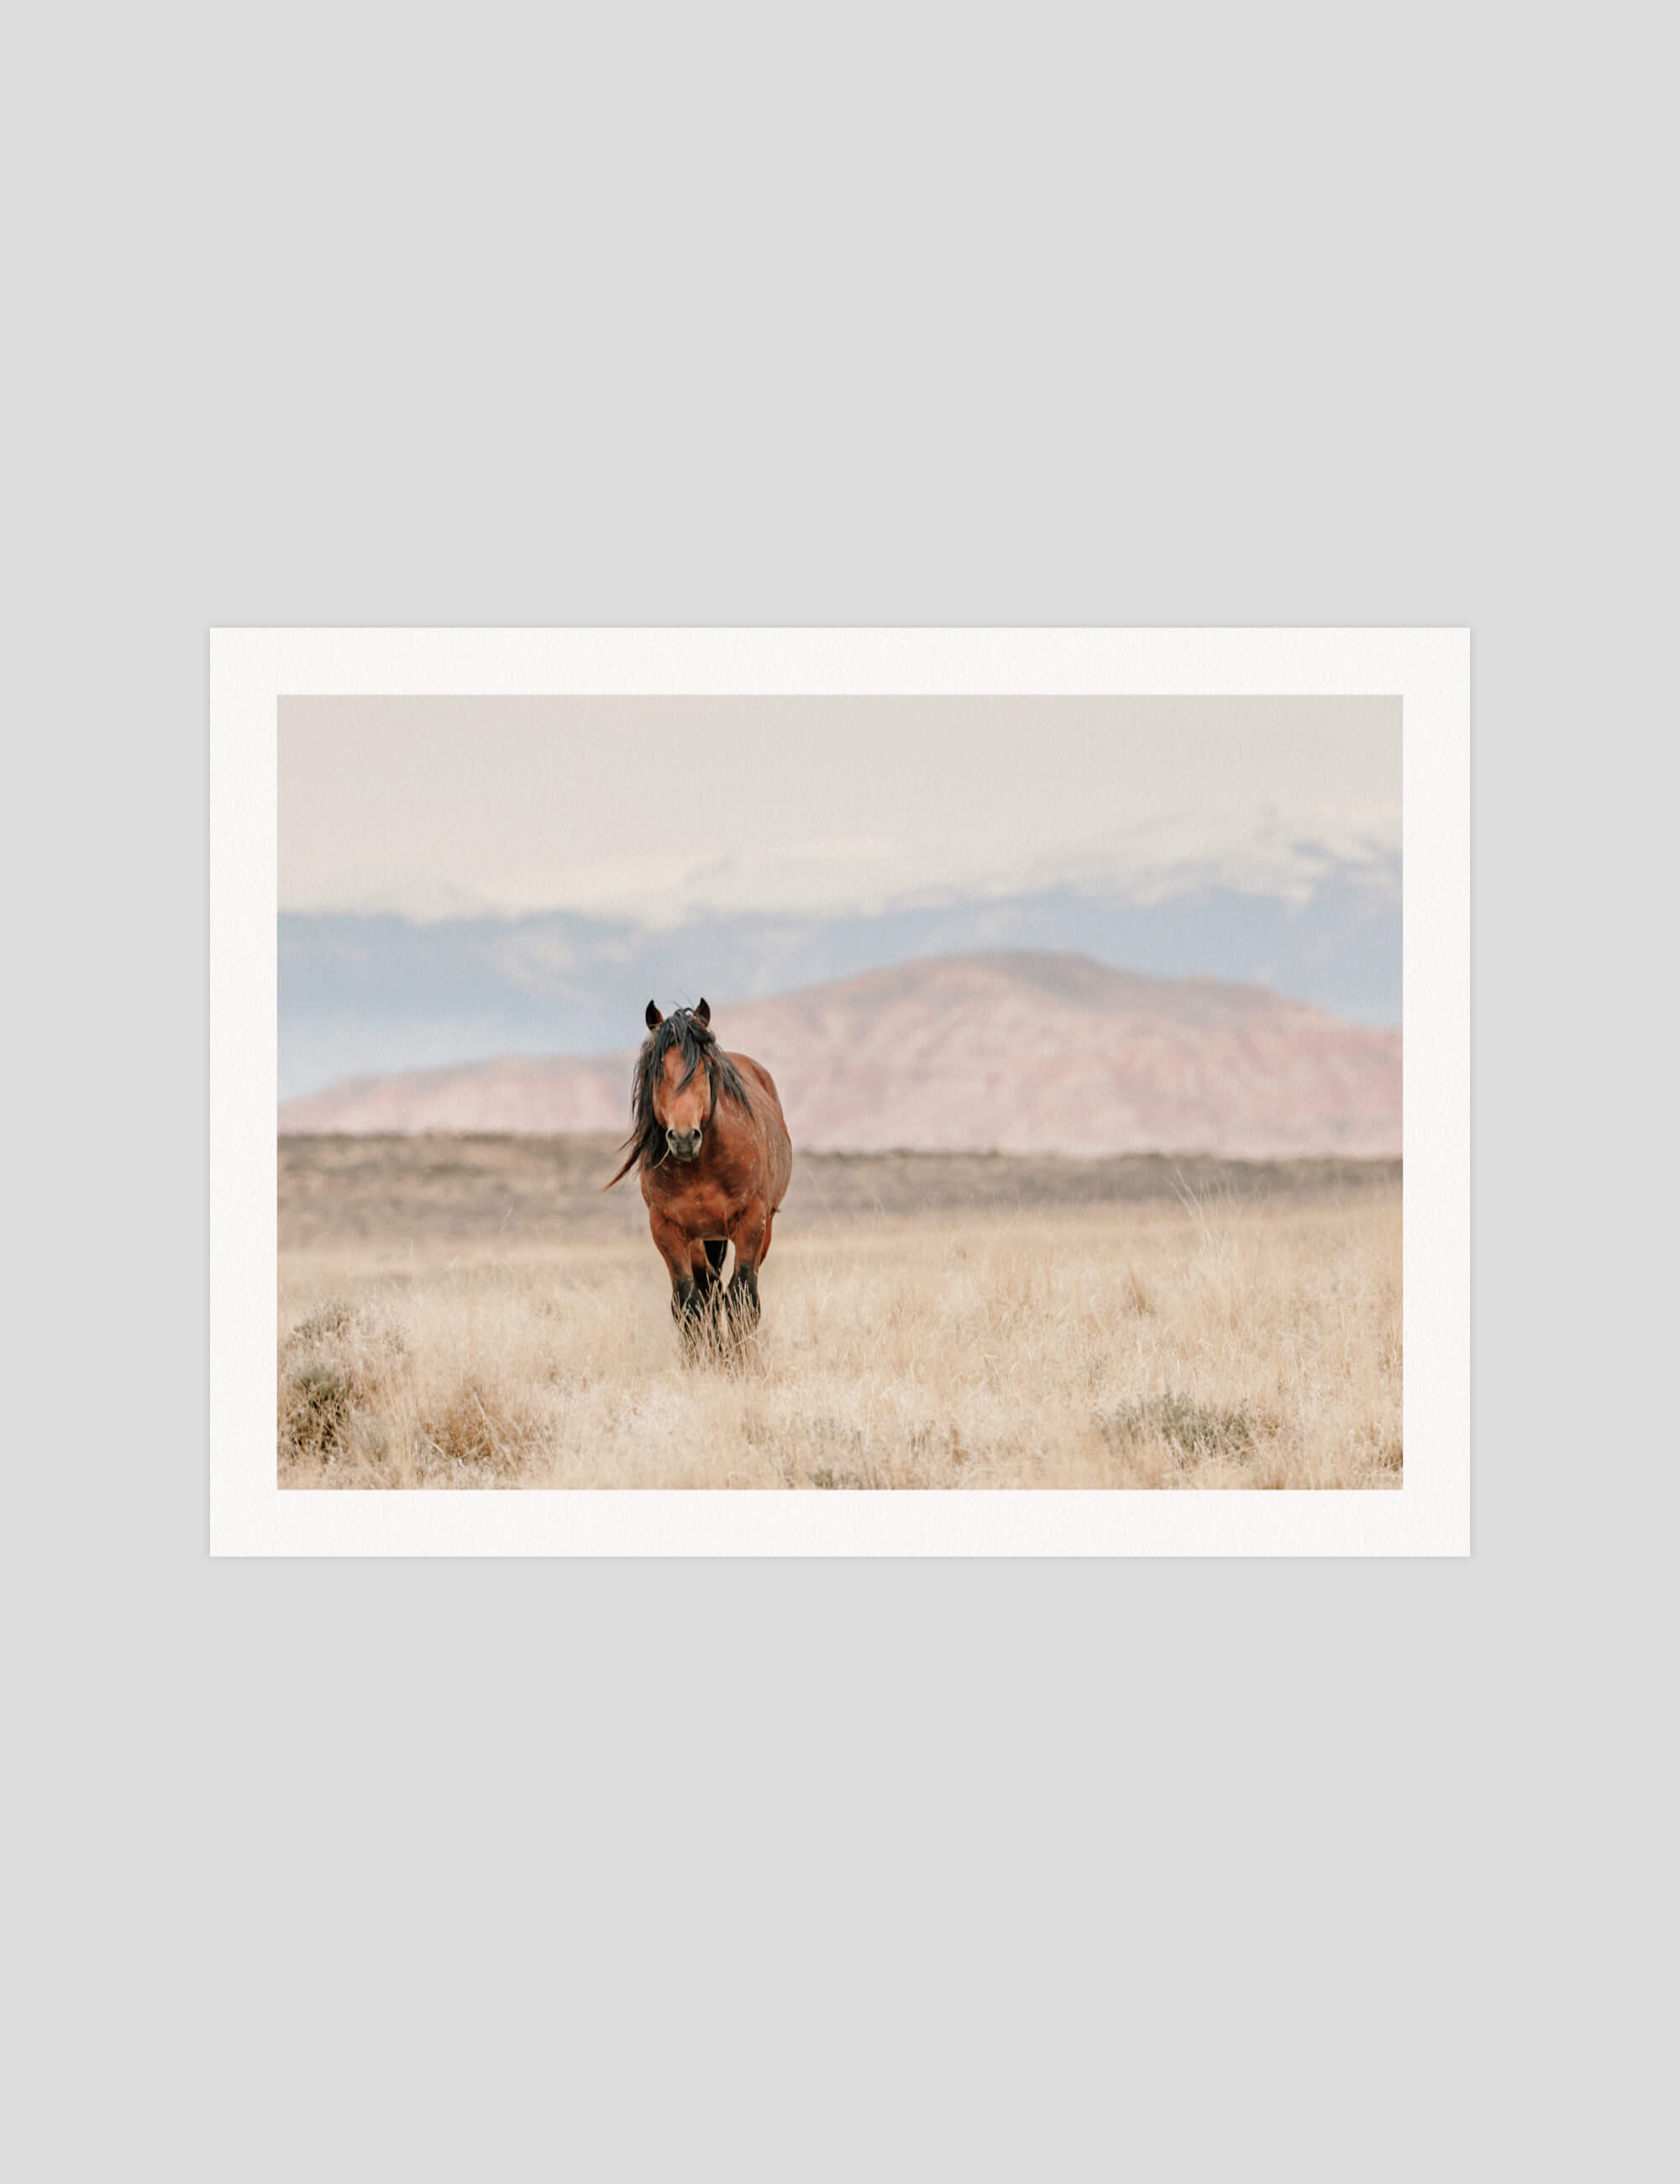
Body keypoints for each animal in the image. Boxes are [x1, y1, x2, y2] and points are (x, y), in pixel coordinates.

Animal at [605, 998, 793, 1346]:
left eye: (706, 1068)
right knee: (709, 1292)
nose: (683, 1137)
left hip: (761, 1229)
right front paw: (704, 1356)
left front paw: (740, 1357)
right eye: (659, 1069)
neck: (703, 1168)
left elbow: (743, 1299)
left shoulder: (752, 1221)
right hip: (702, 1239)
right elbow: (687, 1303)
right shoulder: (666, 1228)